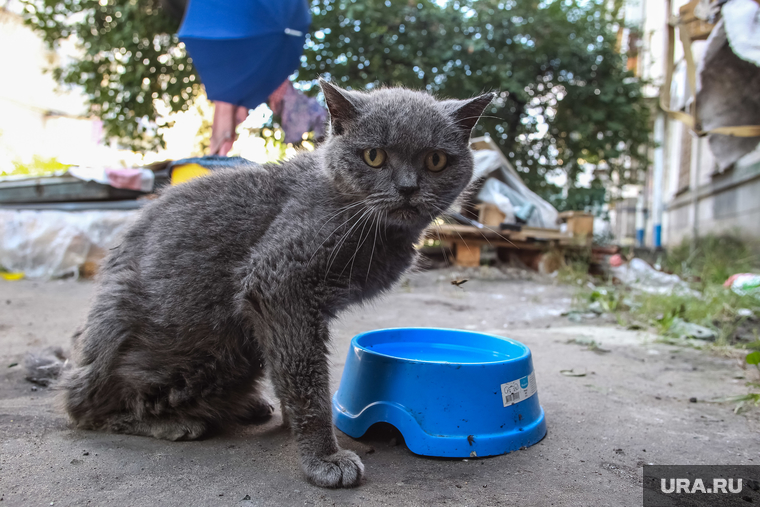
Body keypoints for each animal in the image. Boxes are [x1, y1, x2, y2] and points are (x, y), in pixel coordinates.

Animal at [60, 81, 492, 490]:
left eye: (435, 160)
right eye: (374, 156)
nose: (407, 188)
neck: (373, 228)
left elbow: (289, 369)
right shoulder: (280, 284)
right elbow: (305, 379)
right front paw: (324, 458)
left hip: (240, 348)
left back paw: (247, 406)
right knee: (82, 408)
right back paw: (173, 422)